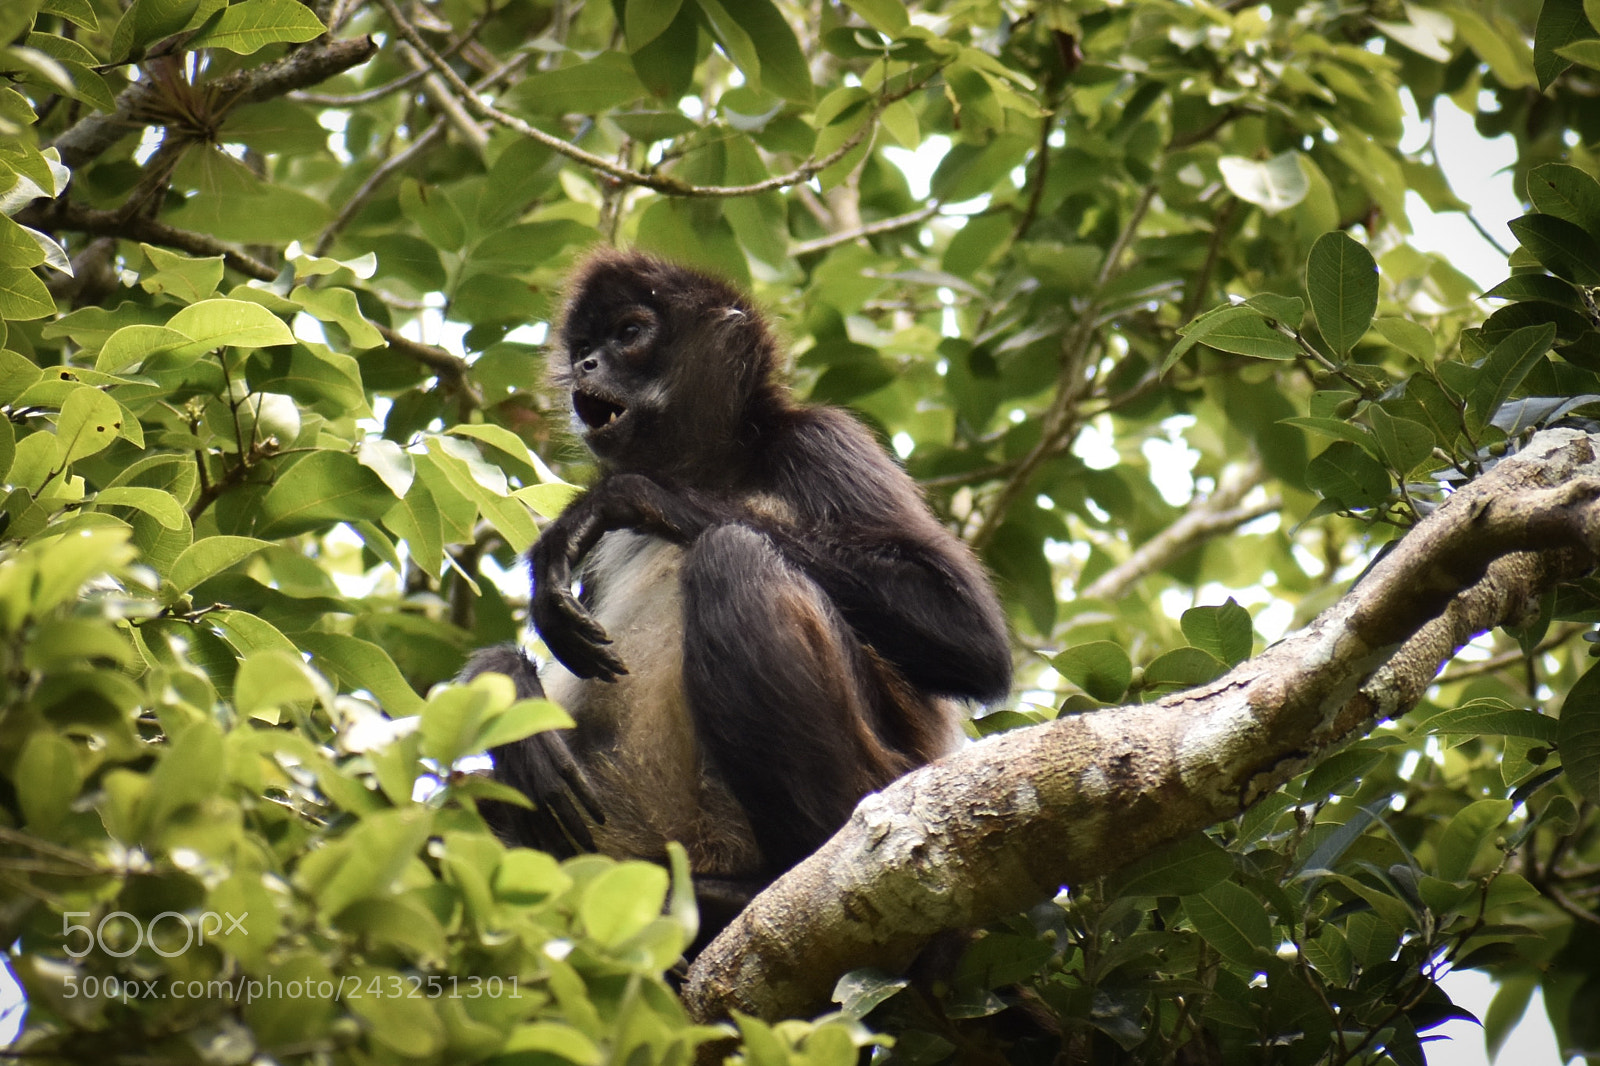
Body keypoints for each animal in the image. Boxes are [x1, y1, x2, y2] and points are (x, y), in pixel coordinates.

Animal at [467, 249, 1011, 930]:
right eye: (585, 347)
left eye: (629, 333)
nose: (586, 367)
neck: (714, 470)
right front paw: (507, 682)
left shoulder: (821, 439)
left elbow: (972, 640)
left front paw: (620, 499)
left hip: (873, 781)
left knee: (731, 555)